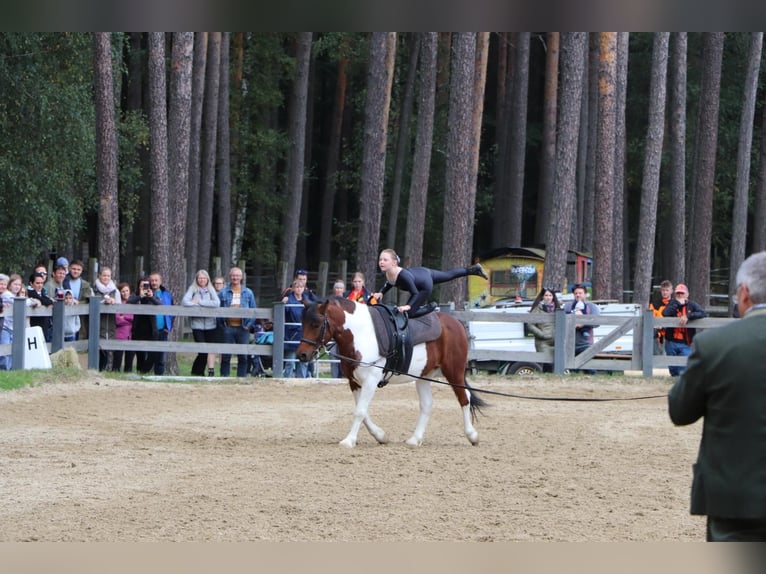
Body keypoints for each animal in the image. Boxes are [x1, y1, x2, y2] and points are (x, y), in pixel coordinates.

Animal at [296, 296, 488, 450]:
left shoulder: (370, 381)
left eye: (316, 324)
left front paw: (349, 441)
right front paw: (380, 436)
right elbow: (363, 412)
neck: (359, 333)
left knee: (464, 399)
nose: (302, 355)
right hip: (424, 376)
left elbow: (359, 411)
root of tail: (456, 323)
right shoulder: (354, 382)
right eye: (303, 323)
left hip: (454, 371)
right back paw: (415, 439)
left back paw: (472, 435)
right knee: (427, 404)